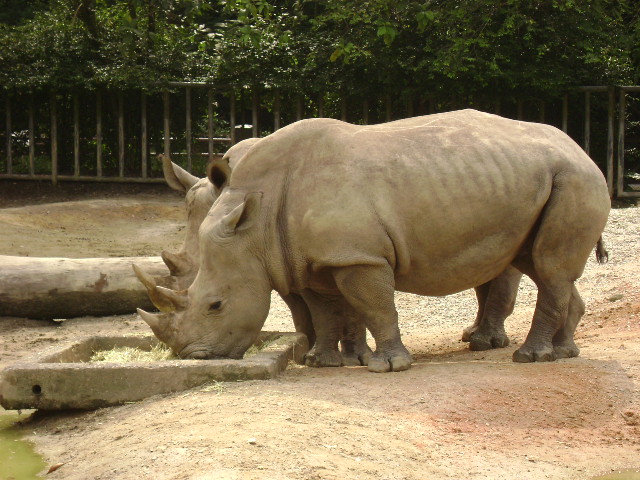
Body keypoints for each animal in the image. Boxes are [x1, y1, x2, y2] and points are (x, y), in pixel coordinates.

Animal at [137, 110, 610, 372]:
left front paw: (387, 366)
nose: (191, 357)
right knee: (545, 265)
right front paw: (322, 362)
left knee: (547, 268)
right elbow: (327, 311)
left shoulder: (357, 256)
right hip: (535, 180)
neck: (255, 219)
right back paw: (565, 352)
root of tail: (583, 150)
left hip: (573, 178)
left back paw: (528, 357)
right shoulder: (307, 260)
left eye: (216, 305)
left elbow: (374, 306)